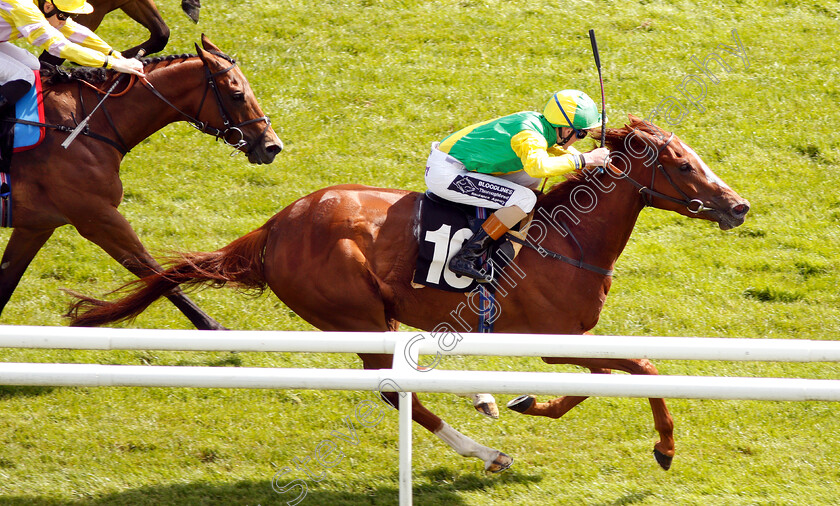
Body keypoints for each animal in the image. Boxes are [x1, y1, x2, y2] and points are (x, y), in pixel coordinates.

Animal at [1, 34, 284, 328]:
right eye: (237, 95)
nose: (272, 145)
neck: (84, 125)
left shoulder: (36, 226)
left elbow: (4, 287)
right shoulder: (99, 218)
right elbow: (162, 277)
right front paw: (215, 327)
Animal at [65, 116, 748, 472]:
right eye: (682, 165)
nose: (738, 206)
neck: (566, 238)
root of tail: (276, 226)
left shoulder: (569, 340)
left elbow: (599, 380)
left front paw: (527, 400)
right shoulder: (556, 339)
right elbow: (643, 366)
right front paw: (664, 446)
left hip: (380, 315)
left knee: (407, 375)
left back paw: (484, 400)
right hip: (354, 315)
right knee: (399, 393)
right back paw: (485, 450)